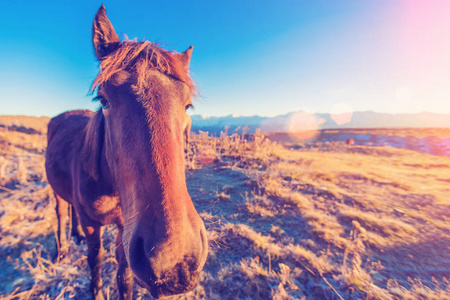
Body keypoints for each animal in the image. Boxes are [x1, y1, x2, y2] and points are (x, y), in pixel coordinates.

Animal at [45, 5, 207, 300]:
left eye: (188, 105)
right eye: (103, 99)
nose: (175, 263)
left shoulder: (126, 228)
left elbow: (125, 276)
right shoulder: (93, 224)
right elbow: (95, 261)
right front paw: (96, 292)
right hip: (56, 192)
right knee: (62, 211)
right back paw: (62, 250)